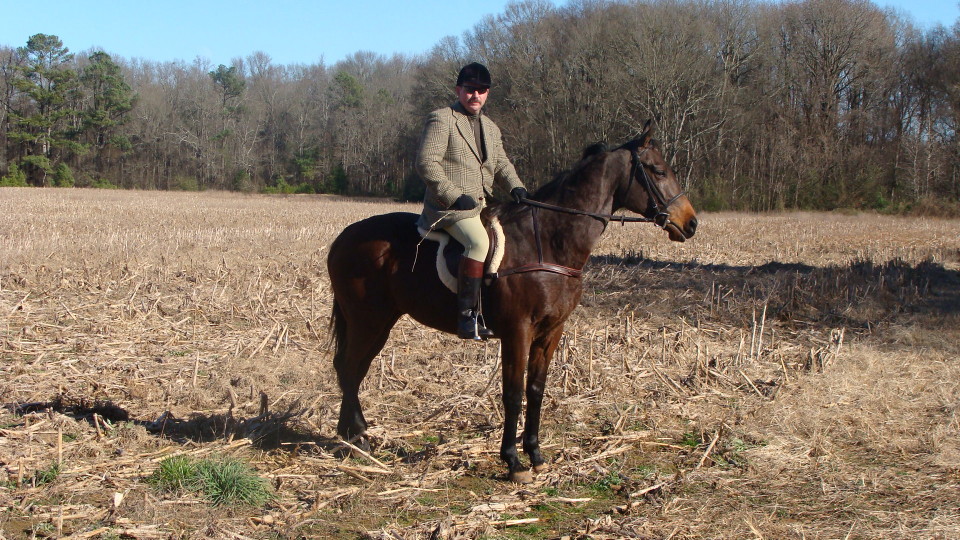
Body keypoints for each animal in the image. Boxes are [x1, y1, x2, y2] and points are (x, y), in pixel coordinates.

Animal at [326, 122, 697, 483]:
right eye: (657, 170)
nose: (690, 223)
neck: (548, 240)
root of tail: (344, 236)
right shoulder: (518, 331)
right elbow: (513, 393)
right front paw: (513, 461)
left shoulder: (551, 332)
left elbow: (535, 390)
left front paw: (535, 455)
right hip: (367, 320)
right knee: (349, 366)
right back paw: (355, 439)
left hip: (380, 322)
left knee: (353, 368)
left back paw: (353, 435)